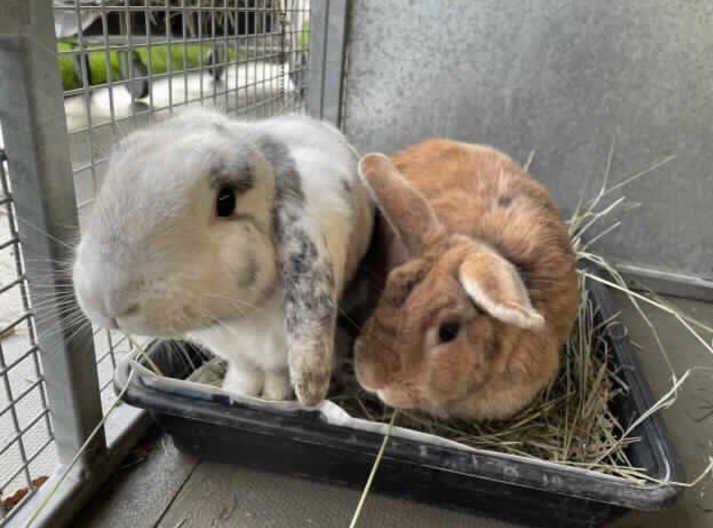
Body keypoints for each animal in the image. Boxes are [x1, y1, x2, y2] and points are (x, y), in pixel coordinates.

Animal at [72, 107, 373, 406]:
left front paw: (274, 399)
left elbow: (278, 375)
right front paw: (237, 392)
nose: (104, 301)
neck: (244, 318)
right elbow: (246, 371)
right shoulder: (238, 355)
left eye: (226, 200)